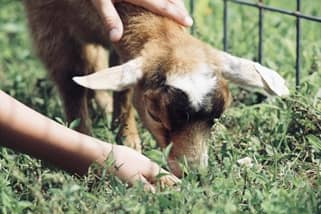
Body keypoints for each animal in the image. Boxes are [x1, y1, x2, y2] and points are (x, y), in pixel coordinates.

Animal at [22, 1, 288, 176]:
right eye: (154, 115)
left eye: (216, 118)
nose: (194, 174)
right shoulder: (46, 20)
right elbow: (69, 80)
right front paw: (83, 137)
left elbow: (123, 88)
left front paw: (126, 136)